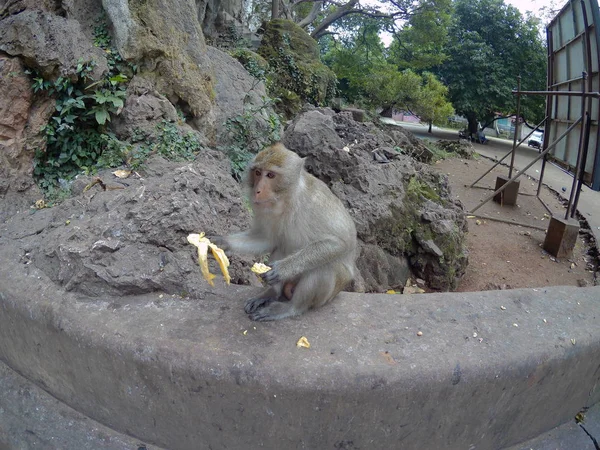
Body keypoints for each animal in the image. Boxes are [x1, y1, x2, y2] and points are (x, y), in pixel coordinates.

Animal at [216, 142, 356, 322]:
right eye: (257, 172)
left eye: (270, 175)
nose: (257, 190)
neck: (286, 200)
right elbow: (267, 239)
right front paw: (222, 242)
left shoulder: (314, 204)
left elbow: (338, 243)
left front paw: (282, 269)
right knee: (281, 246)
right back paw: (271, 293)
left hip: (329, 294)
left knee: (326, 264)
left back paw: (290, 308)